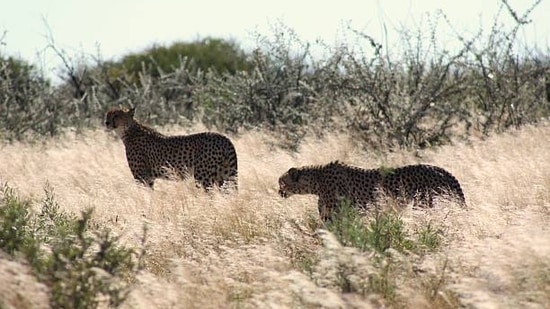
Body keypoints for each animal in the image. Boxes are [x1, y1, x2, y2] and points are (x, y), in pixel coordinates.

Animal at [104, 106, 238, 189]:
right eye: (107, 115)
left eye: (116, 115)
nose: (106, 122)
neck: (128, 131)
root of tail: (223, 137)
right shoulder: (148, 178)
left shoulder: (142, 177)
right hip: (225, 176)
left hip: (203, 177)